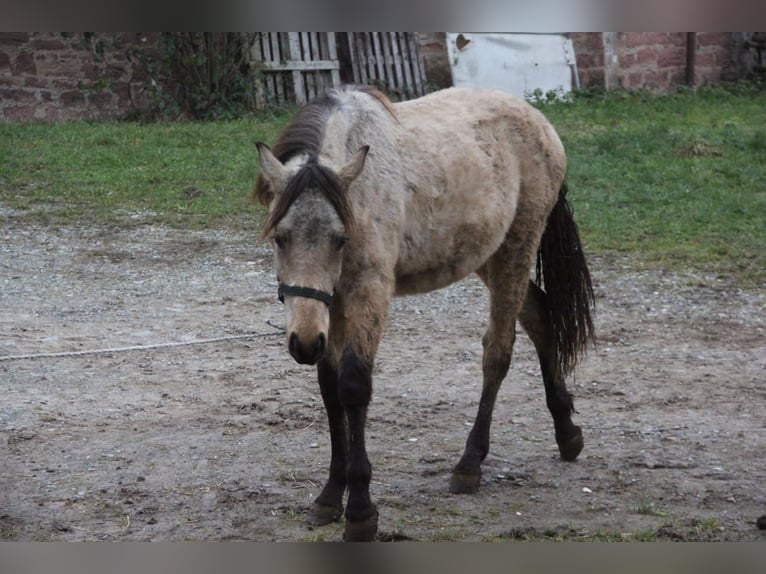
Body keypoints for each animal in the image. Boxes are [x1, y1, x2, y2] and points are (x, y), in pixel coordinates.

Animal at [255, 85, 596, 544]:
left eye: (340, 239)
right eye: (280, 237)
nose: (304, 343)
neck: (361, 193)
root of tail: (538, 119)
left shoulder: (369, 292)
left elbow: (353, 387)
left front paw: (360, 512)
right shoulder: (331, 304)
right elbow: (330, 391)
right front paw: (329, 497)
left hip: (517, 246)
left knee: (498, 352)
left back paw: (470, 464)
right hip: (487, 254)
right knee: (540, 317)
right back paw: (567, 433)